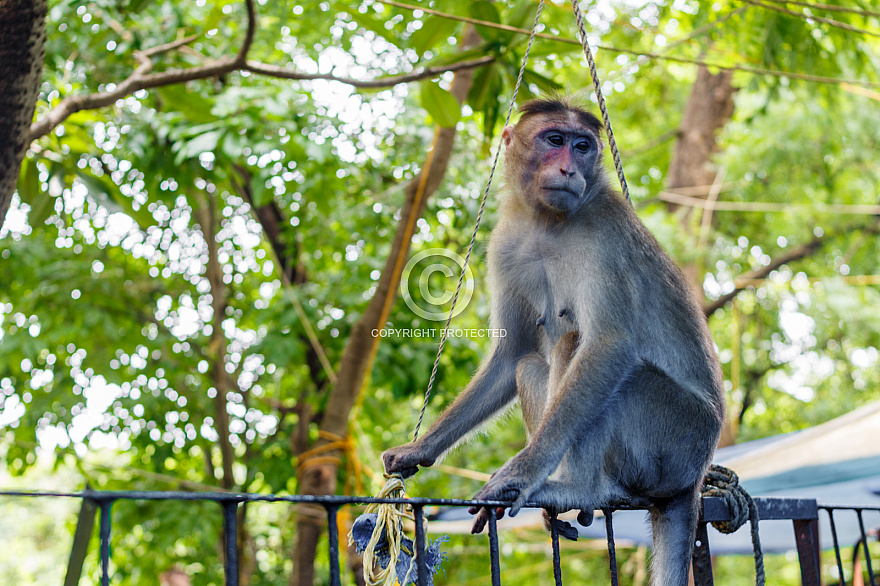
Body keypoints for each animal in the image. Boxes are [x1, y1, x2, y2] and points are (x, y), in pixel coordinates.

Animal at [382, 97, 724, 584]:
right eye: (555, 139)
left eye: (583, 146)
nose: (569, 169)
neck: (548, 222)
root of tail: (694, 478)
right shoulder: (504, 245)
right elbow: (511, 355)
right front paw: (420, 449)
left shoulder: (607, 231)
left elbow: (609, 345)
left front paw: (523, 472)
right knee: (533, 365)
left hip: (678, 439)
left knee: (590, 354)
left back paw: (578, 487)